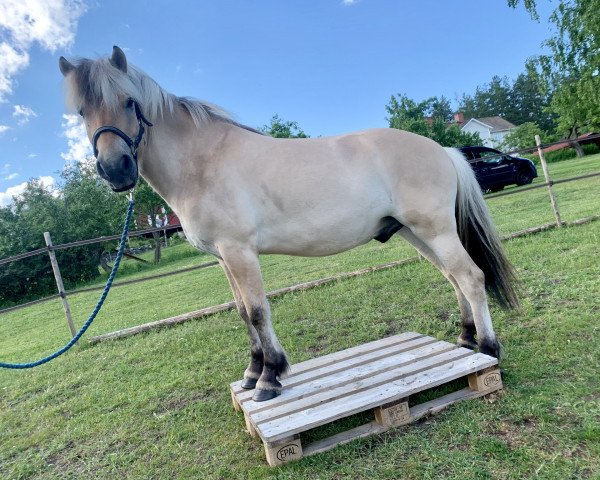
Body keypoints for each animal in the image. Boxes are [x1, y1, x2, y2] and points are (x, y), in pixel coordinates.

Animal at [62, 47, 520, 402]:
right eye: (82, 111)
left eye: (128, 101)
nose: (116, 170)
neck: (202, 161)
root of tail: (443, 149)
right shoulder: (223, 259)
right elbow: (242, 312)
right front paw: (252, 374)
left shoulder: (239, 251)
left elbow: (257, 312)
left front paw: (270, 378)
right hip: (417, 234)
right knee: (453, 278)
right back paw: (464, 340)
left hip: (435, 231)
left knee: (470, 277)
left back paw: (488, 349)